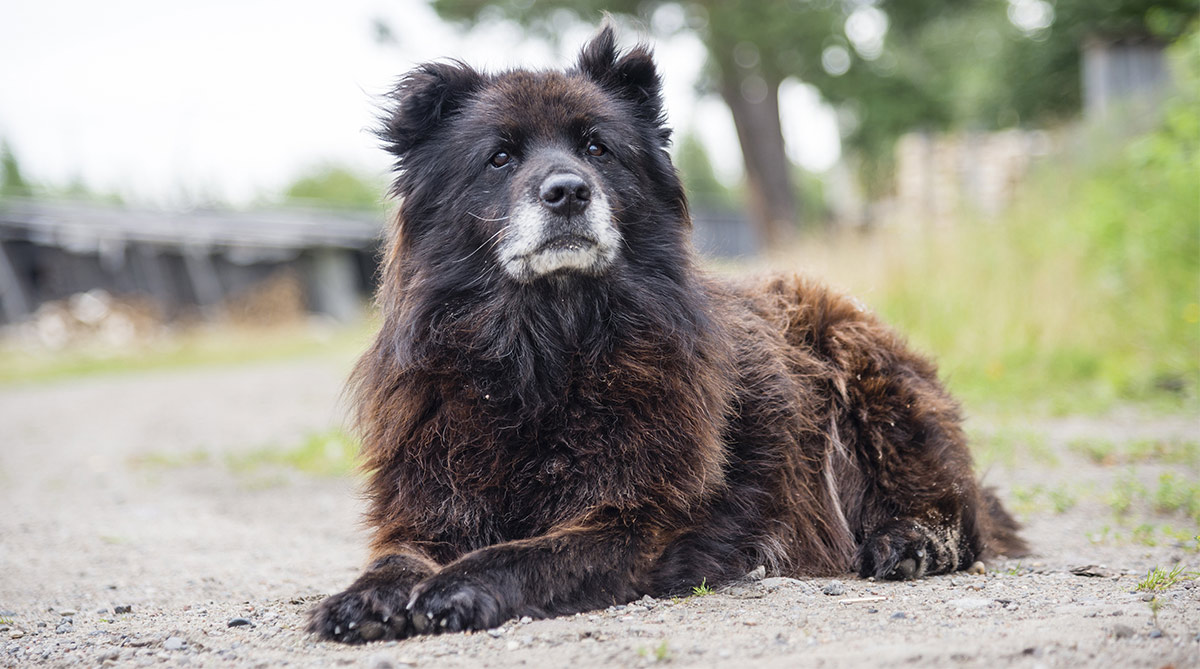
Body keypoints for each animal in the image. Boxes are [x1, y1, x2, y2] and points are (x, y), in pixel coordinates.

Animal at [307, 24, 1022, 647]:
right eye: (499, 157)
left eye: (597, 148)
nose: (567, 191)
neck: (545, 348)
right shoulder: (430, 503)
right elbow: (396, 556)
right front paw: (364, 597)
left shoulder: (633, 521)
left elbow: (524, 554)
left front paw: (456, 587)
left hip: (867, 373)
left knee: (960, 512)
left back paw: (911, 541)